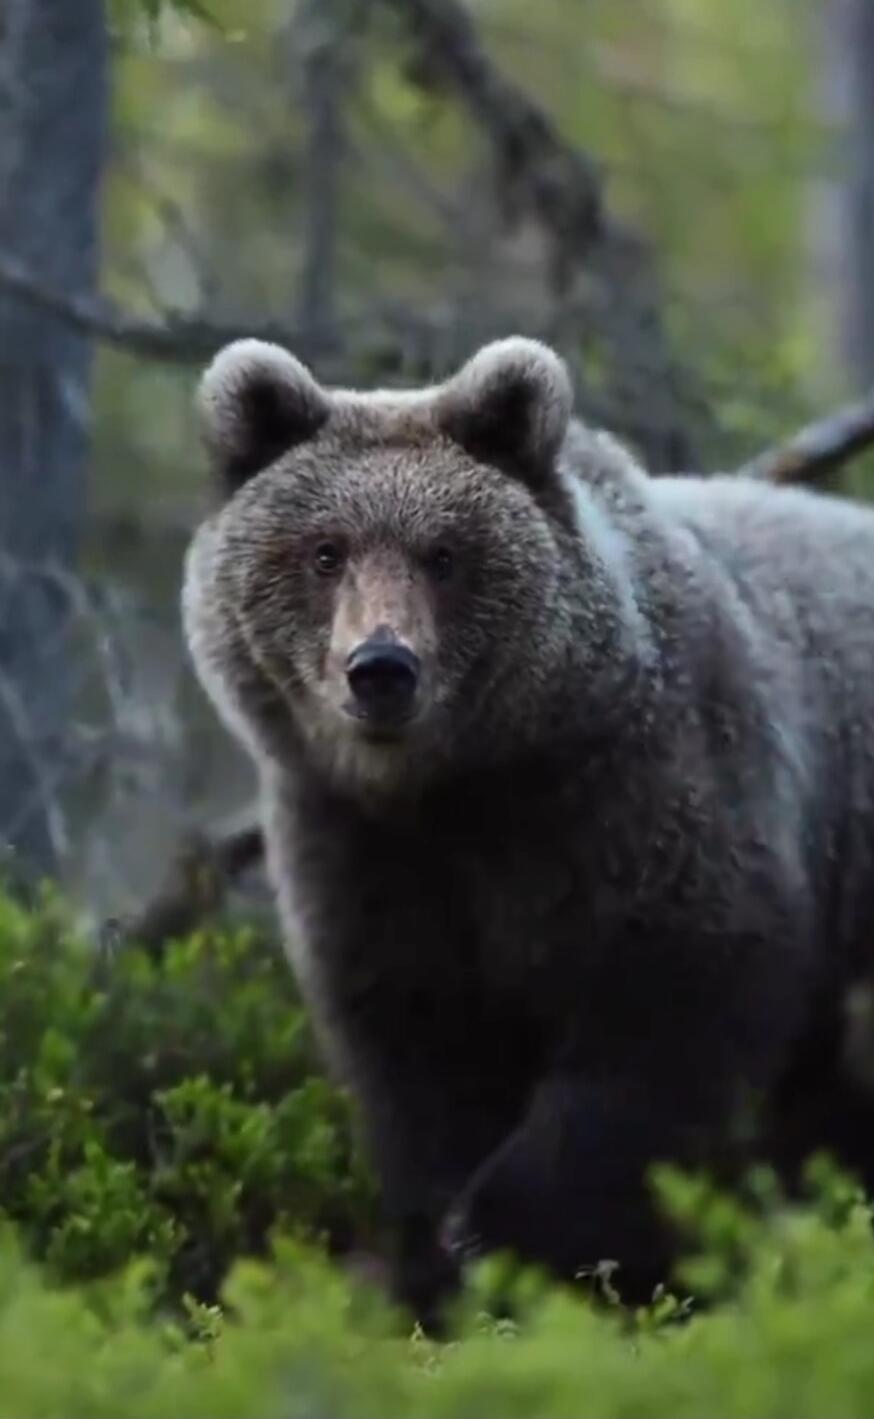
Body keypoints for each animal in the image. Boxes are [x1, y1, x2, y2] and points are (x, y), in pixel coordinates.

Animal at [182, 334, 874, 1328]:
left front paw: (506, 1233)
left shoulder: (648, 803)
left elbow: (659, 1032)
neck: (461, 786)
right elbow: (419, 1058)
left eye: (443, 551)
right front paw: (439, 1254)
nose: (380, 667)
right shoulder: (361, 852)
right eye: (324, 549)